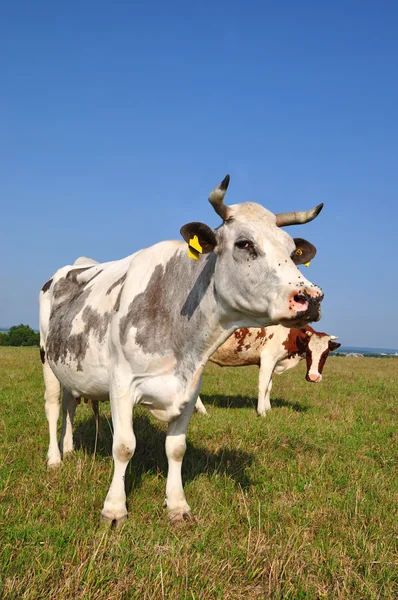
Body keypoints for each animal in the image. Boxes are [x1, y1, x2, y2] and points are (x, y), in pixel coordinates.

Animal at [38, 175, 324, 524]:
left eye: (292, 251)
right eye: (244, 244)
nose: (311, 297)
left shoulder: (190, 387)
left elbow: (176, 448)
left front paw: (177, 506)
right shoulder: (122, 384)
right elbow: (124, 446)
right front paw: (114, 508)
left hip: (73, 369)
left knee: (70, 404)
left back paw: (68, 448)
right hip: (47, 361)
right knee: (53, 407)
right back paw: (54, 458)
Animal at [194, 324, 340, 418]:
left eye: (325, 354)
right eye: (309, 352)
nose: (313, 377)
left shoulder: (271, 362)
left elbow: (269, 386)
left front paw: (268, 409)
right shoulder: (268, 359)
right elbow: (263, 386)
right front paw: (261, 412)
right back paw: (203, 411)